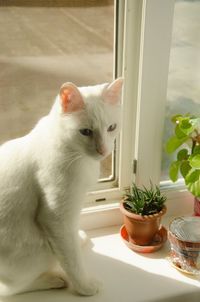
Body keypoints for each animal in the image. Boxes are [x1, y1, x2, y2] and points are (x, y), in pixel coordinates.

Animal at [0, 77, 122, 294]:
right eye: (85, 132)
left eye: (111, 127)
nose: (103, 150)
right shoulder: (57, 219)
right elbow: (72, 259)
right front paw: (85, 287)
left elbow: (72, 244)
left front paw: (79, 239)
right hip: (39, 249)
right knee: (12, 289)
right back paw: (52, 280)